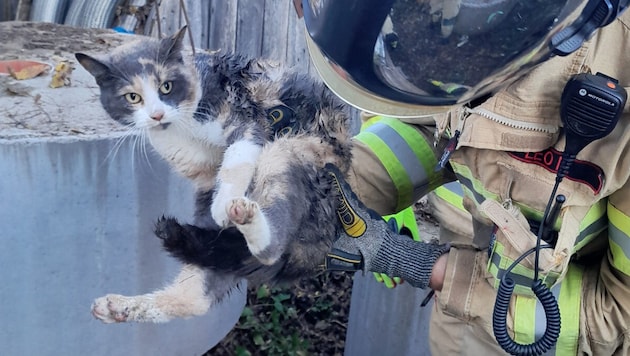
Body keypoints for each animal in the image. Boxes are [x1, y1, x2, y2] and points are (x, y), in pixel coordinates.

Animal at [75, 27, 356, 322]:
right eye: (132, 97)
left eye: (166, 86)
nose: (157, 114)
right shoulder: (201, 170)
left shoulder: (247, 120)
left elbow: (236, 160)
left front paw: (223, 205)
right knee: (196, 294)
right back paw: (118, 308)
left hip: (289, 150)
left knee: (270, 250)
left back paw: (243, 214)